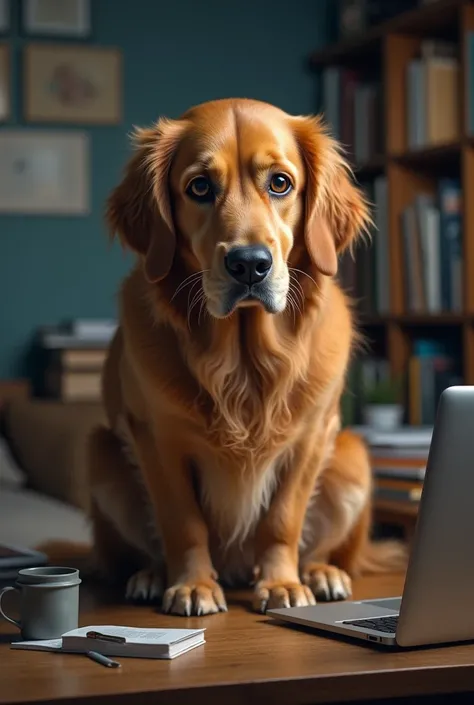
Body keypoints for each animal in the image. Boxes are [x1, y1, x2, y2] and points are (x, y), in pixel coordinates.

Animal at [86, 96, 404, 612]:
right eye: (199, 186)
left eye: (280, 183)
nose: (250, 264)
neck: (244, 362)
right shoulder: (157, 437)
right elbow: (182, 522)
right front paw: (192, 584)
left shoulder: (311, 436)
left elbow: (283, 520)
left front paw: (281, 583)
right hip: (102, 455)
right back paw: (151, 576)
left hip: (353, 457)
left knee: (325, 548)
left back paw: (321, 573)